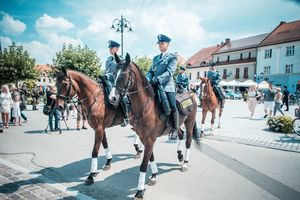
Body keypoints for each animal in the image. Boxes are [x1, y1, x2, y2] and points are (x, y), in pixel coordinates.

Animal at [108, 53, 202, 200]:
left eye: (124, 75)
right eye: (113, 74)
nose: (112, 98)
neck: (146, 106)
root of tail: (191, 92)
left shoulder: (150, 139)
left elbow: (143, 165)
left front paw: (139, 192)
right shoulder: (145, 138)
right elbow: (151, 158)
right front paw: (154, 176)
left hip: (190, 122)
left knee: (188, 141)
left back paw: (185, 163)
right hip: (178, 125)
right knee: (180, 134)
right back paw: (180, 155)